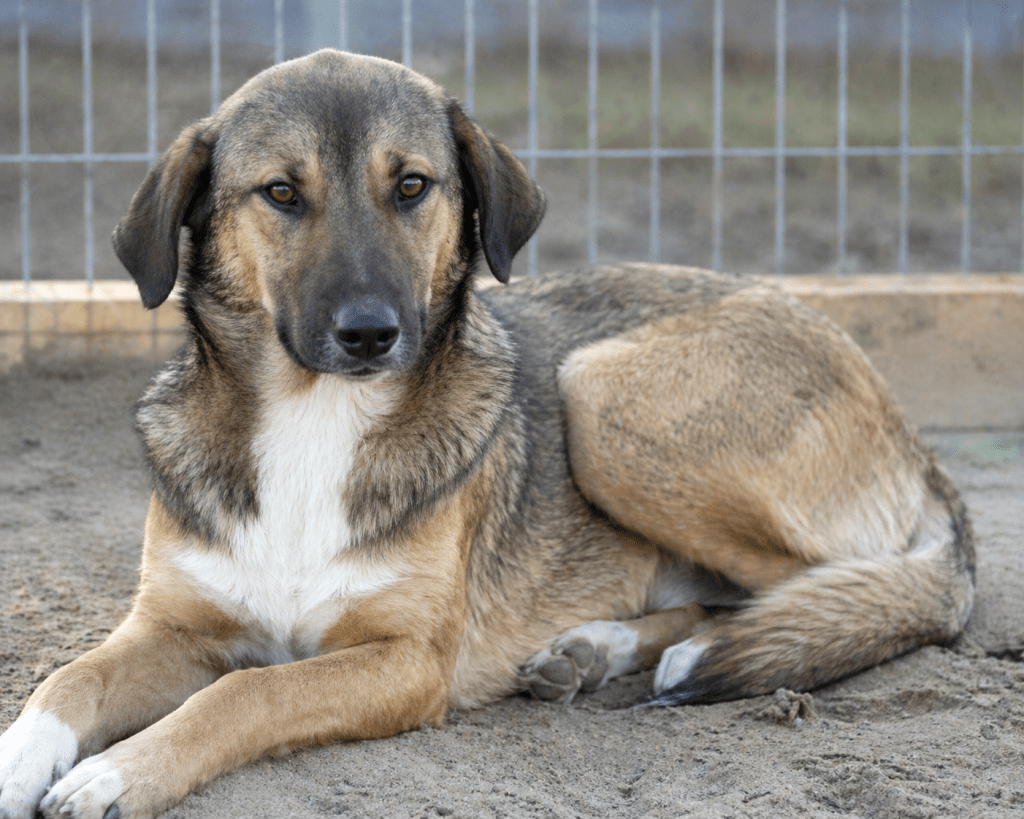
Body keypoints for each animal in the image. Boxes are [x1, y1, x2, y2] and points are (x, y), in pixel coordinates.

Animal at [0, 49, 974, 819]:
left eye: (412, 186)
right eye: (280, 192)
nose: (370, 333)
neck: (315, 416)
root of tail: (908, 431)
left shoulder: (406, 662)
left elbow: (246, 691)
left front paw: (117, 772)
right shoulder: (171, 625)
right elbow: (68, 676)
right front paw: (18, 762)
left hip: (603, 396)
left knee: (828, 589)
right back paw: (590, 648)